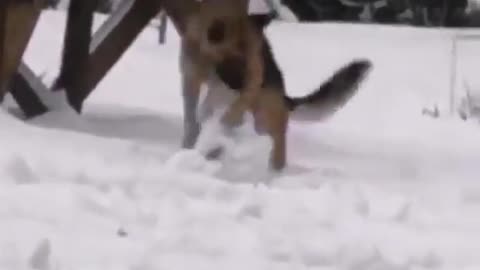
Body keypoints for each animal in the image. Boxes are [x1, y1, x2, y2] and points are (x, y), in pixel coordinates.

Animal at [180, 3, 372, 171]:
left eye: (250, 57)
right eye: (233, 58)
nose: (239, 85)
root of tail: (285, 98)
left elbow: (226, 112)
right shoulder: (191, 81)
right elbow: (193, 115)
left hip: (265, 118)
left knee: (274, 146)